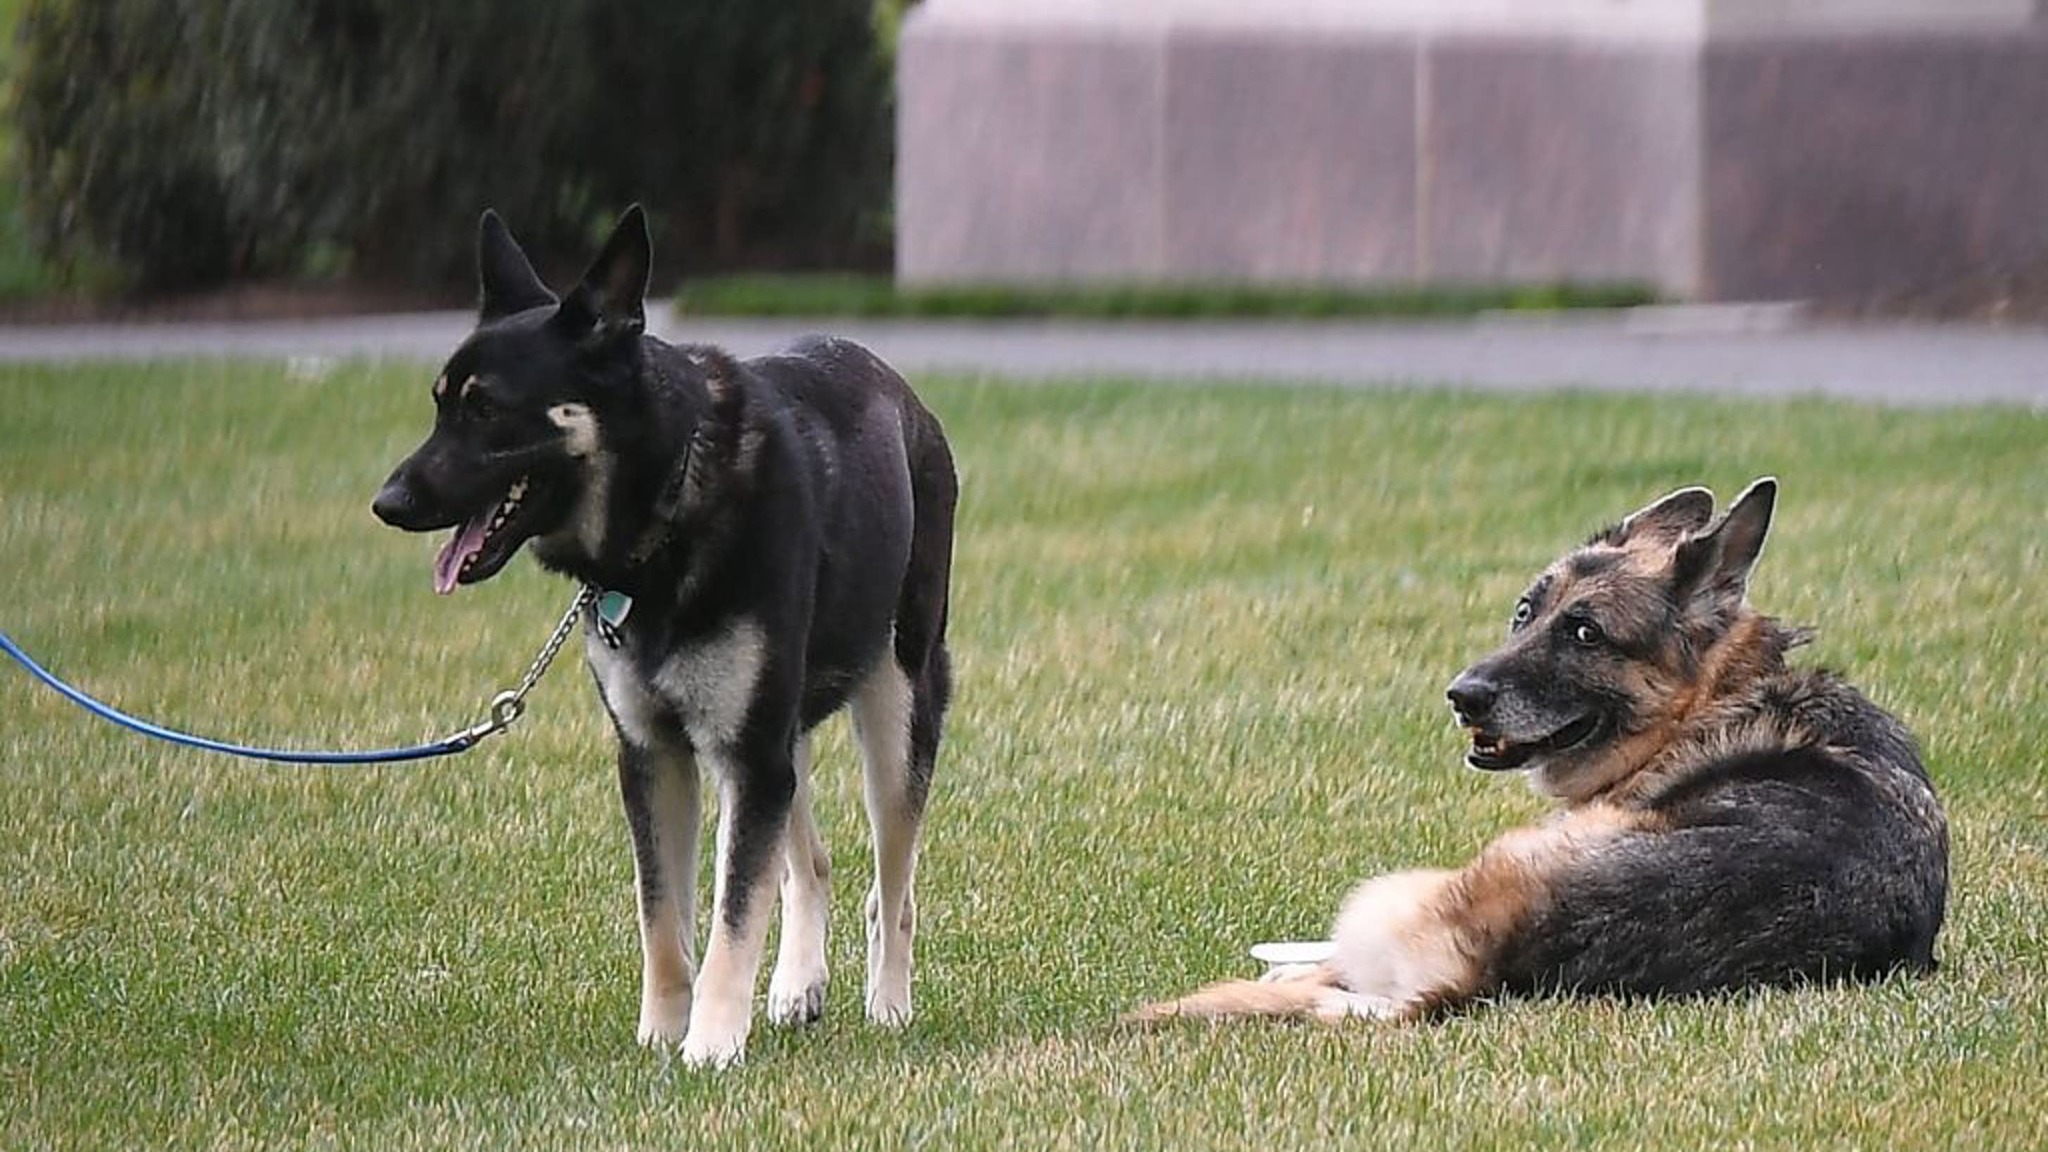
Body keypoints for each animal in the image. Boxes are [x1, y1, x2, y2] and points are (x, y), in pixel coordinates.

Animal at [370, 208, 958, 1065]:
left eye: (486, 410)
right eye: (440, 404)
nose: (387, 502)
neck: (671, 501)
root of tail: (902, 393)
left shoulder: (745, 756)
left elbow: (732, 916)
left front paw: (711, 1046)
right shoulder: (659, 756)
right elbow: (664, 918)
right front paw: (661, 1035)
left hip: (895, 706)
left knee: (894, 886)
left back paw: (888, 1003)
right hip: (778, 735)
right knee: (810, 862)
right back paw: (799, 984)